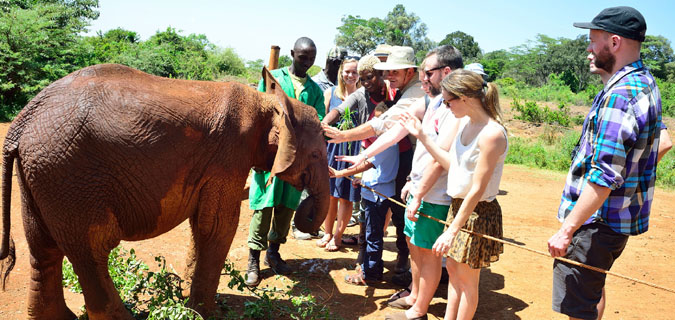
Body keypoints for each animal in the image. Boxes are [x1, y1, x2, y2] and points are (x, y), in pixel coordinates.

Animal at [0, 63, 328, 318]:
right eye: (315, 154)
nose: (308, 220)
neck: (268, 102)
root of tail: (21, 122)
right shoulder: (229, 156)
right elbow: (218, 227)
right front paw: (204, 313)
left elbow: (202, 226)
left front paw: (187, 302)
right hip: (69, 174)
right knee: (92, 249)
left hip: (41, 173)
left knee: (43, 248)